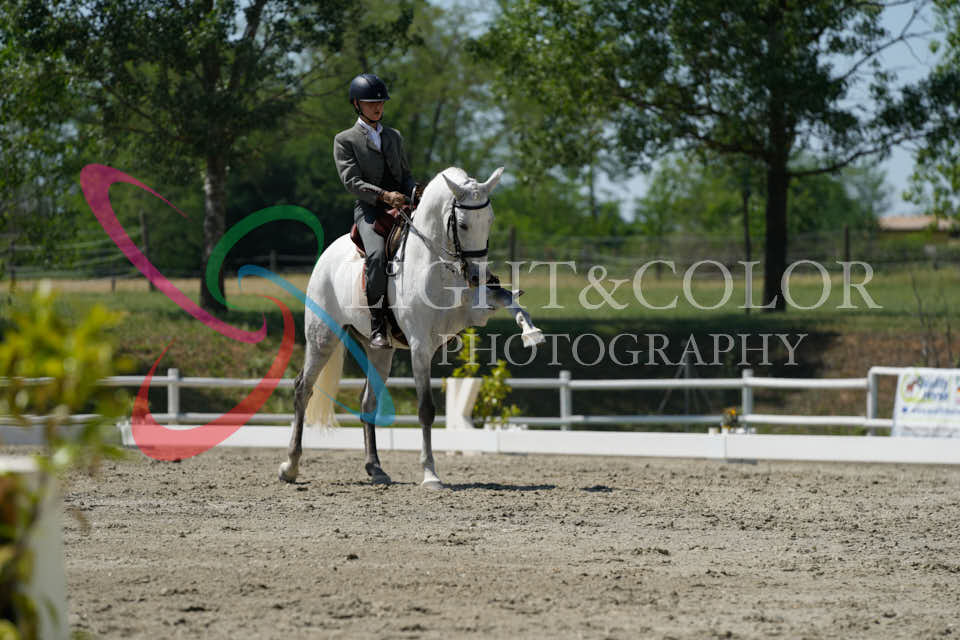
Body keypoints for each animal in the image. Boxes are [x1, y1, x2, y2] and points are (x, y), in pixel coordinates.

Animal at [278, 167, 544, 489]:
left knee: (368, 402)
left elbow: (510, 300)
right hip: (322, 337)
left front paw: (531, 333)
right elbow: (426, 410)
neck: (437, 263)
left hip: (380, 352)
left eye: (490, 220)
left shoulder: (476, 312)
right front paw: (430, 474)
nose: (480, 277)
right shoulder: (421, 346)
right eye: (463, 224)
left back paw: (375, 468)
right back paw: (290, 467)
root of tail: (328, 254)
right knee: (303, 389)